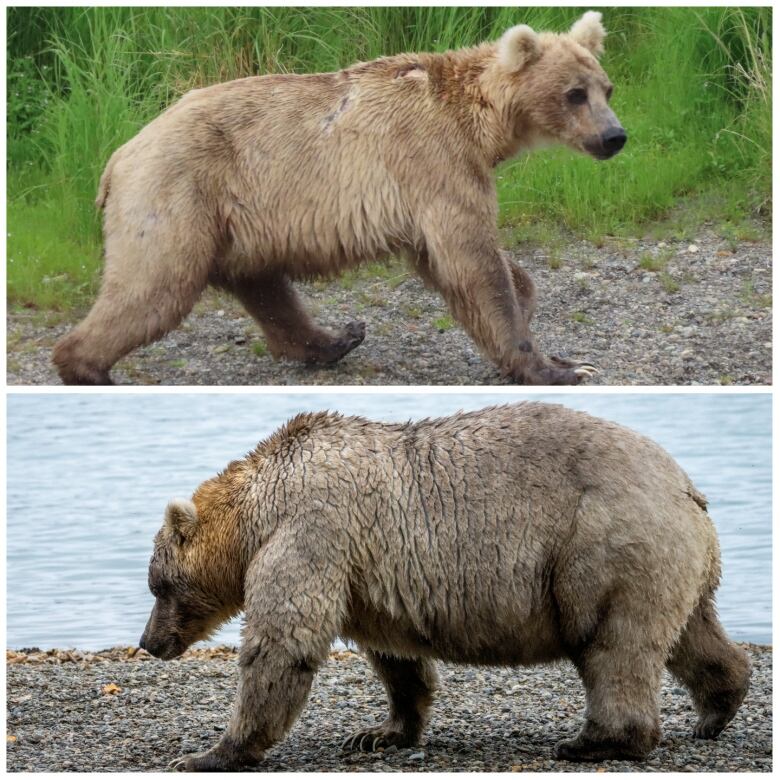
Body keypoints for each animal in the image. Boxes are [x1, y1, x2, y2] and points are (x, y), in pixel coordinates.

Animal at [53, 12, 628, 386]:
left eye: (607, 88)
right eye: (574, 94)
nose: (615, 137)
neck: (482, 125)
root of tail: (119, 156)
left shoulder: (434, 177)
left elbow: (469, 263)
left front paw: (537, 318)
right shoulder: (430, 159)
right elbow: (470, 259)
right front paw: (559, 367)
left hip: (238, 214)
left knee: (262, 286)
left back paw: (336, 338)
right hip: (178, 192)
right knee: (156, 283)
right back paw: (86, 367)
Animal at [140, 406, 748, 772]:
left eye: (157, 585)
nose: (148, 642)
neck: (255, 515)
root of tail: (685, 488)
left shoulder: (313, 529)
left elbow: (281, 644)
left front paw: (210, 753)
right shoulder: (368, 574)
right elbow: (395, 657)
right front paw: (380, 732)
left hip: (604, 546)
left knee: (613, 646)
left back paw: (595, 741)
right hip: (672, 561)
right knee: (692, 633)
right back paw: (717, 708)